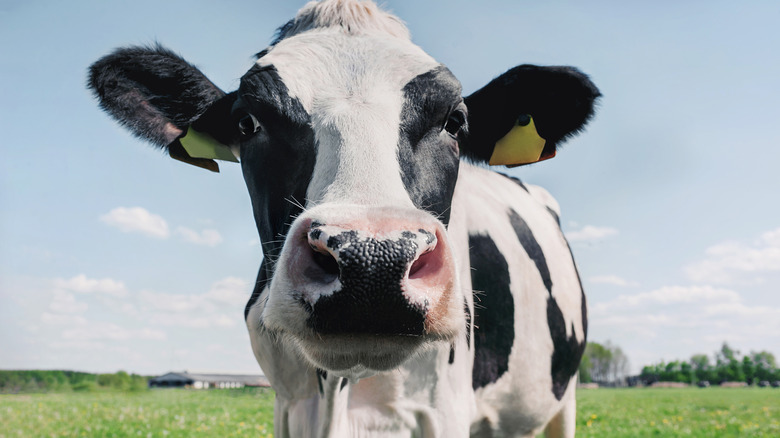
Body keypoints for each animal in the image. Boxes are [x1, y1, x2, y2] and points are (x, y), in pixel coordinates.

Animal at [87, 1, 596, 436]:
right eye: (248, 122)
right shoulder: (288, 405)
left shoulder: (440, 409)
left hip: (563, 400)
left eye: (454, 121)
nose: (374, 262)